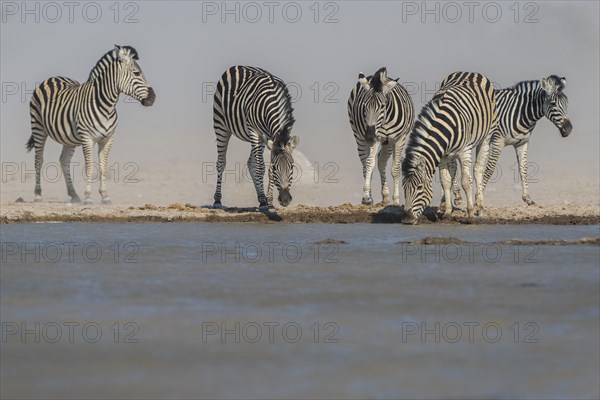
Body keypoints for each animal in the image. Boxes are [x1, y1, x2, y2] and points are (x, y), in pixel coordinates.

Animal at [27, 45, 155, 205]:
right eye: (136, 73)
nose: (153, 98)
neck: (106, 106)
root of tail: (53, 77)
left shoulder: (108, 139)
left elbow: (102, 167)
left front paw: (105, 196)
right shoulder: (87, 138)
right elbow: (89, 167)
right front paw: (88, 197)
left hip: (68, 138)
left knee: (64, 160)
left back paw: (74, 194)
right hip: (38, 126)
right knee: (39, 159)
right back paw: (38, 195)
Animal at [212, 65, 298, 209]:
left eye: (291, 167)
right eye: (276, 168)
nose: (285, 200)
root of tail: (237, 66)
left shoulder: (272, 138)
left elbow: (266, 169)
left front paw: (269, 202)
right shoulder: (255, 132)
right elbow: (261, 168)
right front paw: (264, 203)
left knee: (250, 163)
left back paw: (261, 198)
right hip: (221, 125)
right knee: (221, 162)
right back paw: (217, 200)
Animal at [344, 67, 414, 205]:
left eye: (382, 105)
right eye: (364, 106)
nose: (369, 135)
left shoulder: (399, 139)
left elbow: (395, 168)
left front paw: (396, 200)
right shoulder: (375, 138)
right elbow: (369, 163)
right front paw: (366, 196)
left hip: (388, 143)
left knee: (382, 162)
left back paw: (386, 195)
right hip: (359, 136)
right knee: (365, 163)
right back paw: (371, 196)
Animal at [404, 70, 496, 223]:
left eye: (419, 187)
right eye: (403, 187)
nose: (406, 219)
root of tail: (469, 71)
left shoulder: (464, 151)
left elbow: (466, 181)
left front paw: (470, 213)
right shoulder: (442, 155)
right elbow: (445, 181)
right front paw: (447, 212)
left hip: (486, 136)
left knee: (478, 169)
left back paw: (480, 207)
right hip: (451, 154)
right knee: (453, 172)